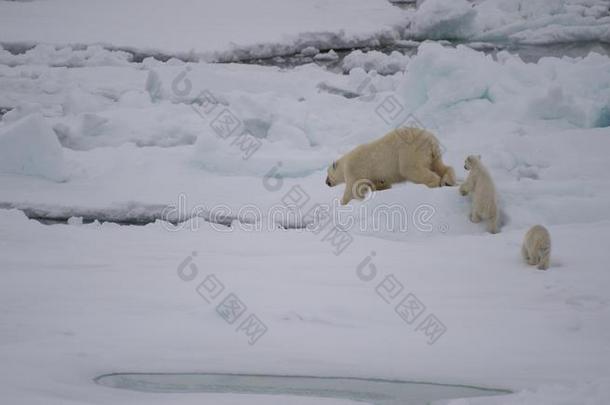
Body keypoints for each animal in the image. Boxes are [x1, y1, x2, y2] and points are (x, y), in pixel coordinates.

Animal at [326, 126, 454, 204]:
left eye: (327, 174)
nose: (326, 182)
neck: (344, 163)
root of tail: (430, 141)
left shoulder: (354, 170)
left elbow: (353, 189)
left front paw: (342, 203)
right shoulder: (374, 174)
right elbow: (379, 183)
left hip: (410, 152)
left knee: (411, 169)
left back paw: (433, 183)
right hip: (432, 154)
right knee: (440, 166)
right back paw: (448, 181)